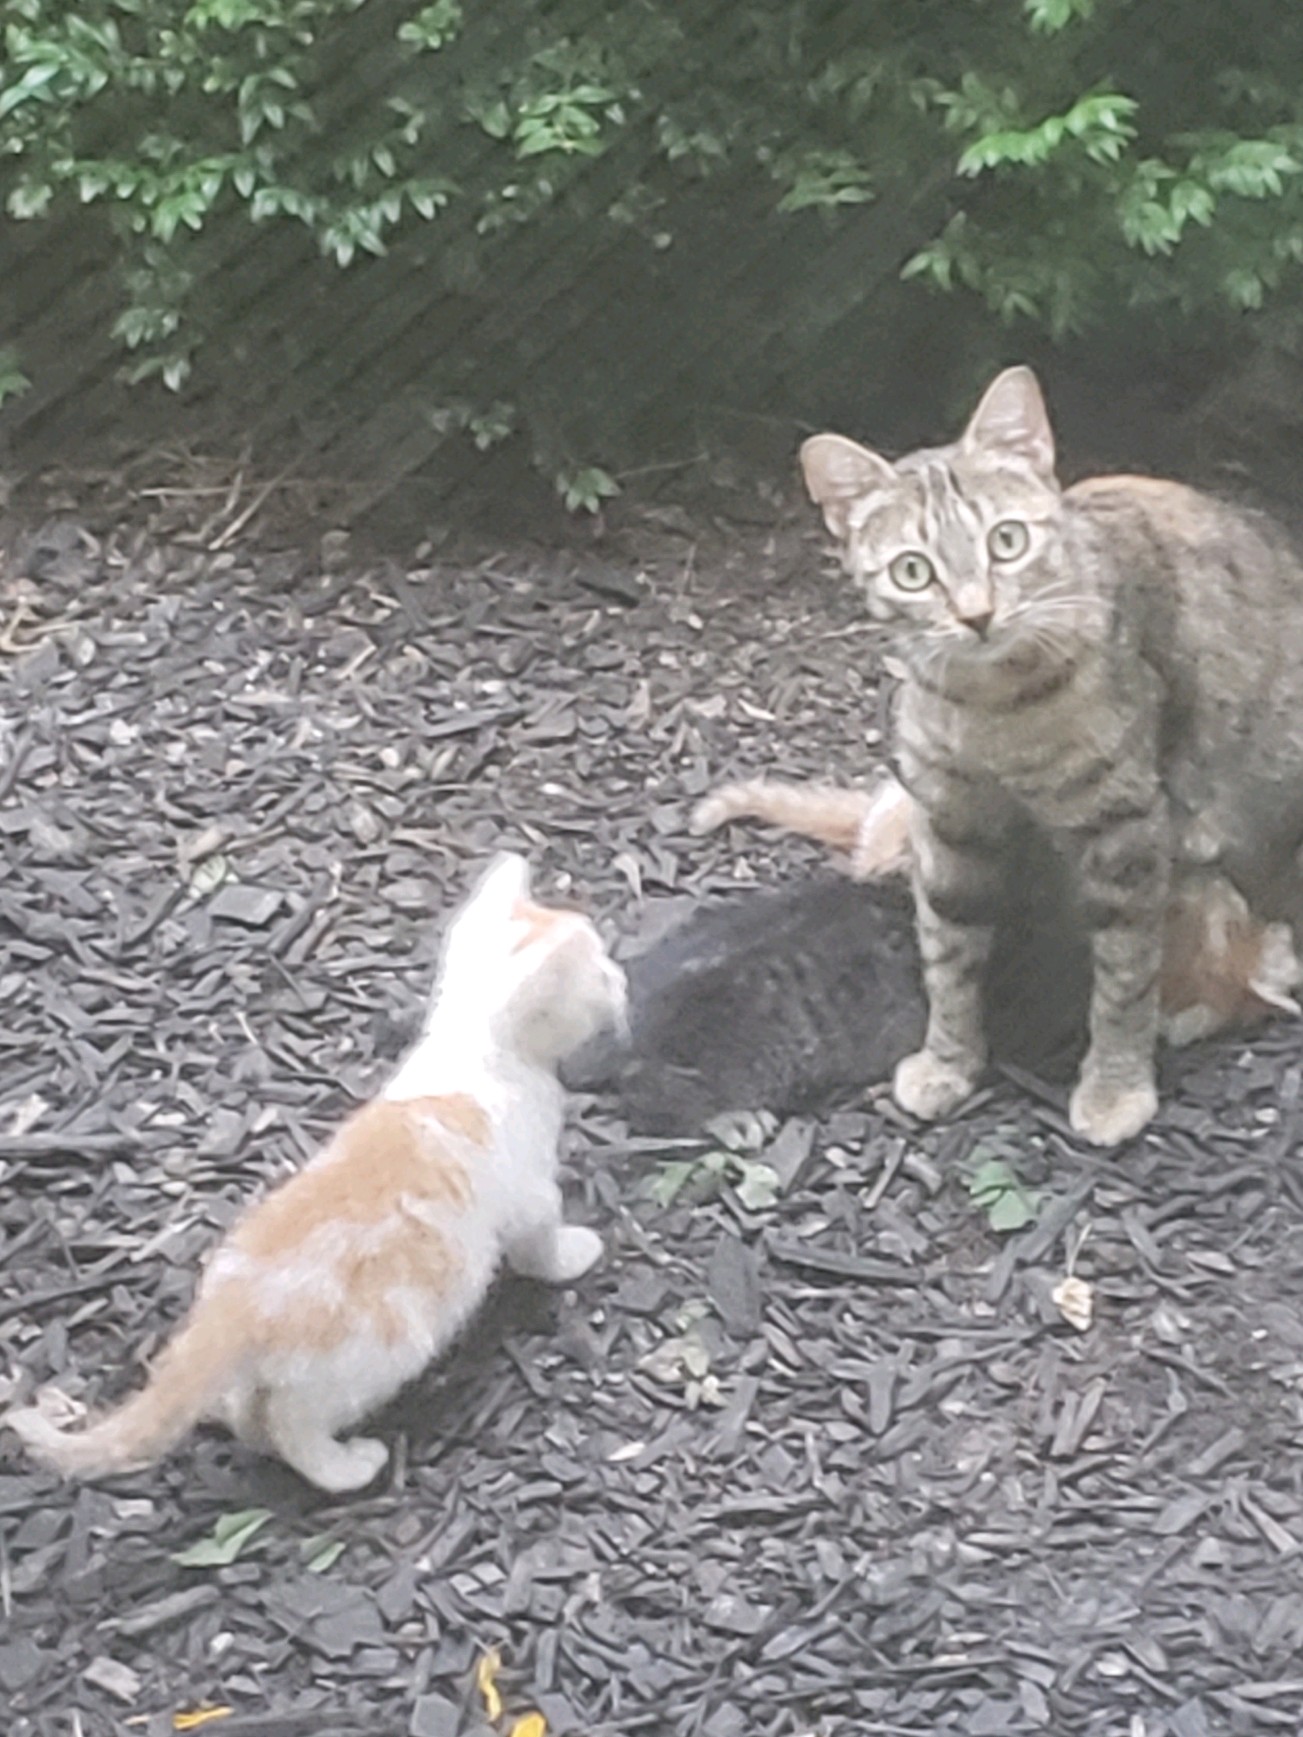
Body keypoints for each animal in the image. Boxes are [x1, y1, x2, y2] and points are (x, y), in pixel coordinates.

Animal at [4, 854, 627, 1493]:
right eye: (599, 973)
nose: (622, 980)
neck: (477, 1049)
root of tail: (227, 1311)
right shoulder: (530, 1193)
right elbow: (540, 1242)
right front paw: (574, 1254)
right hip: (362, 1362)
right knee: (293, 1426)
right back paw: (348, 1467)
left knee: (251, 1414)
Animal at [799, 365, 1303, 1145]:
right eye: (913, 571)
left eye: (1006, 541)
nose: (977, 614)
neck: (992, 709)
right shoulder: (948, 820)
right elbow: (946, 952)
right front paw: (948, 1060)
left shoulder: (1125, 830)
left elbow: (1125, 971)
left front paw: (1115, 1086)